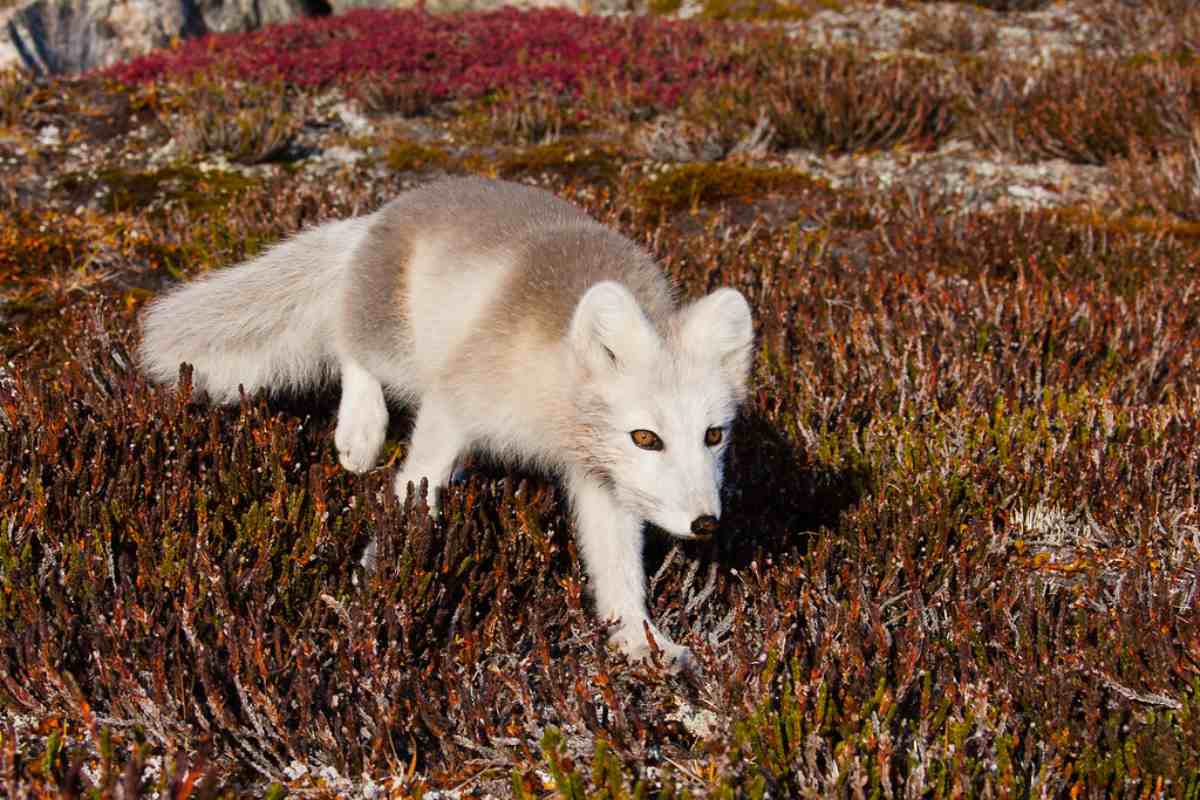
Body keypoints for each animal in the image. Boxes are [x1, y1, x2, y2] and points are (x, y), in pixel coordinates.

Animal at [139, 176, 754, 670]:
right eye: (646, 438)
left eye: (714, 435)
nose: (705, 523)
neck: (551, 410)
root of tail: (382, 212)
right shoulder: (455, 401)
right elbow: (415, 484)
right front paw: (382, 579)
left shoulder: (601, 476)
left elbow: (619, 567)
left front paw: (641, 640)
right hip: (397, 346)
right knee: (348, 345)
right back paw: (360, 432)